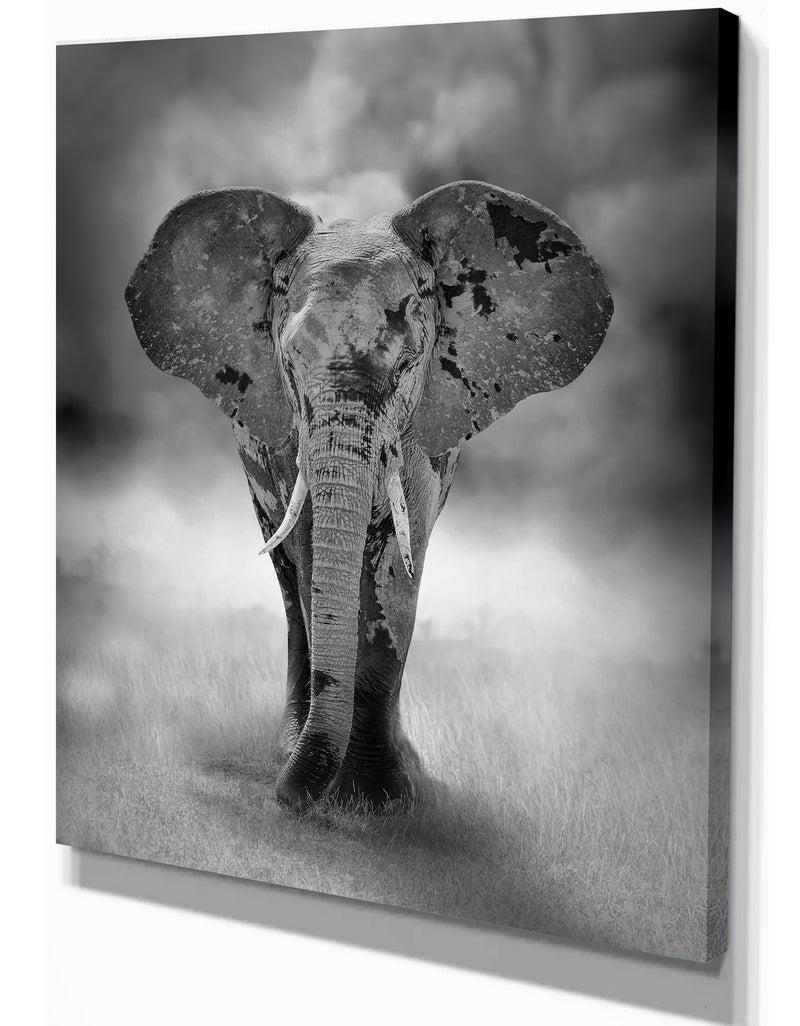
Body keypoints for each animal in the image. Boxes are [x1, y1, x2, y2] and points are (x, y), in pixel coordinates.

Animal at [125, 180, 613, 811]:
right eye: (288, 363)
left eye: (407, 364)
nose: (286, 799)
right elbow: (311, 552)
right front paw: (331, 784)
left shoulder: (425, 429)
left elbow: (399, 571)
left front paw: (384, 797)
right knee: (289, 581)